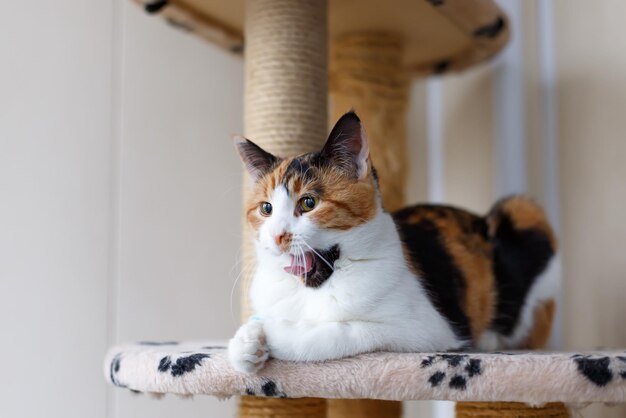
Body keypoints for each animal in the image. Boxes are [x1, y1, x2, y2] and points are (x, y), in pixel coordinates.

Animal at [227, 110, 560, 372]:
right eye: (266, 209)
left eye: (309, 203)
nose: (278, 235)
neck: (310, 292)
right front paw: (247, 342)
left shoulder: (423, 329)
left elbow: (341, 332)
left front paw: (275, 334)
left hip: (522, 212)